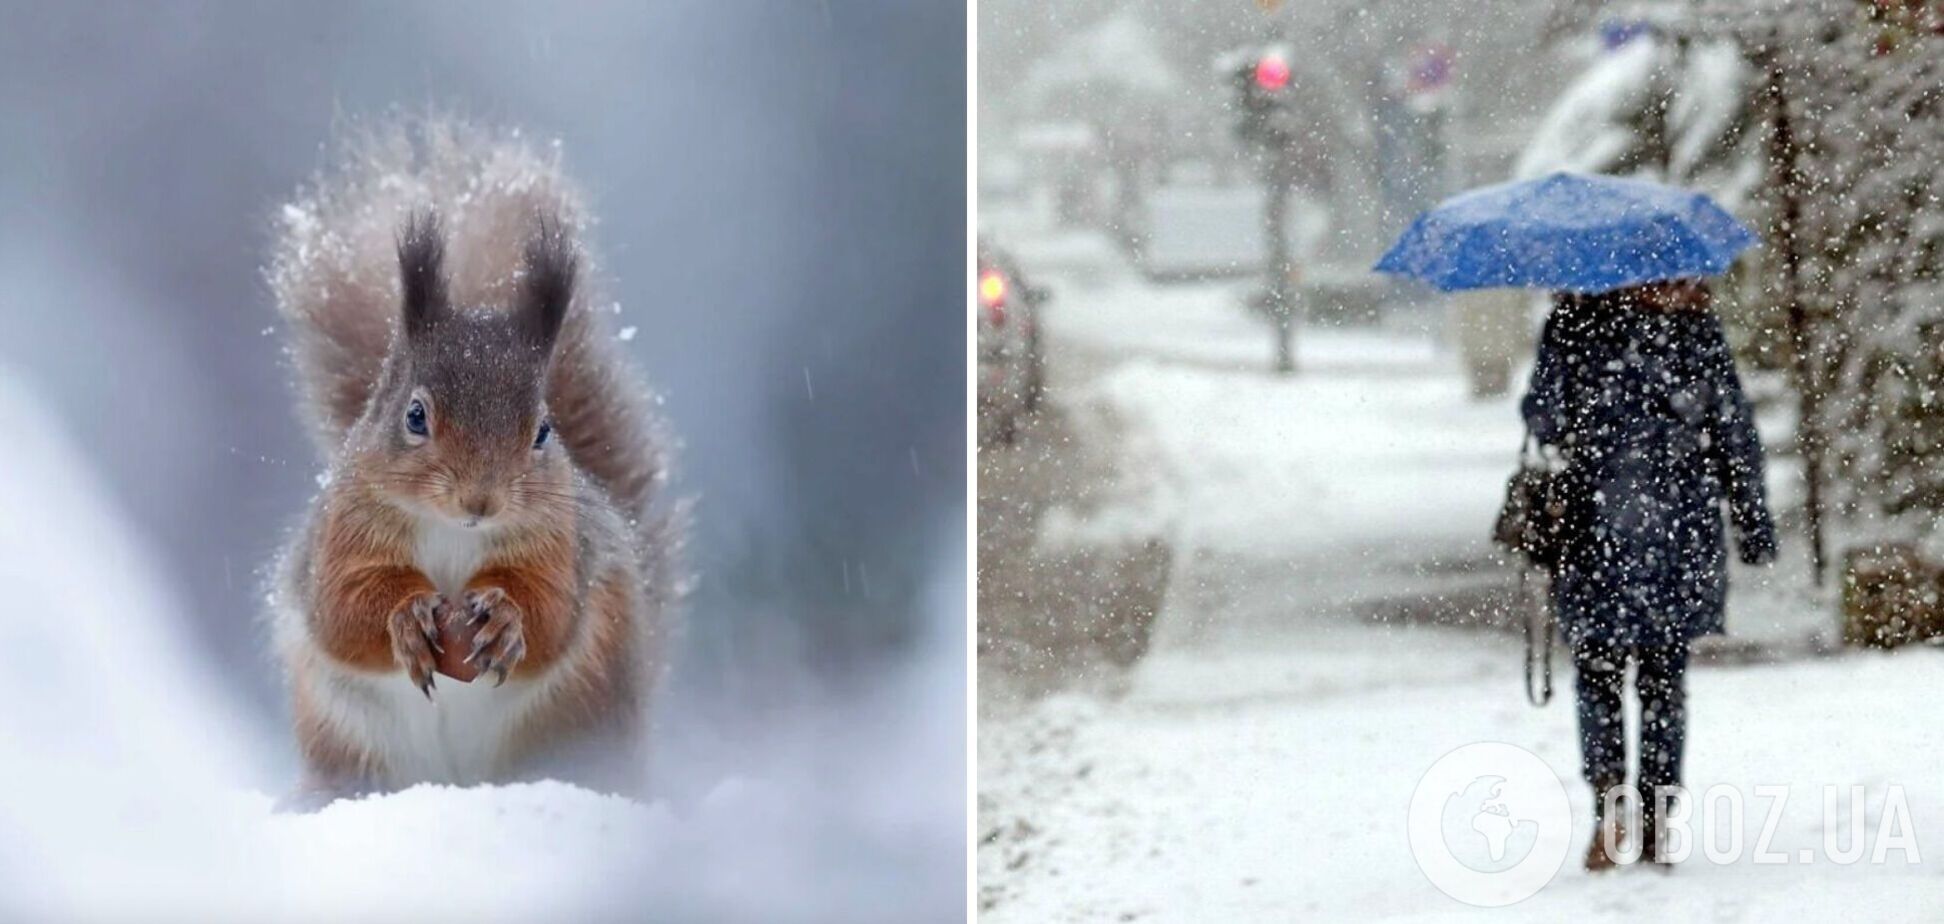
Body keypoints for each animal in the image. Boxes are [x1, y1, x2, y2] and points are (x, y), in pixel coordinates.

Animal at [266, 121, 676, 801]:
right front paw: (405, 617)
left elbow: (551, 613)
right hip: (352, 744)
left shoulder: (563, 546)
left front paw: (507, 619)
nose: (480, 500)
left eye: (543, 431)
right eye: (414, 416)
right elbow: (342, 611)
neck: (453, 535)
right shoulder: (340, 539)